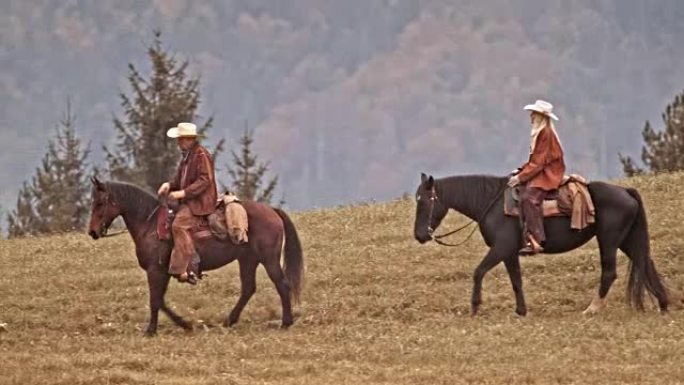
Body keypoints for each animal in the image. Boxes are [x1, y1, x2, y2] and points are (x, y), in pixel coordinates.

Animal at [87, 176, 304, 334]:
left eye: (100, 202)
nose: (93, 232)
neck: (150, 225)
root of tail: (272, 211)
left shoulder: (155, 271)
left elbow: (155, 301)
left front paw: (151, 330)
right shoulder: (163, 272)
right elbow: (161, 300)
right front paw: (184, 324)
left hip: (269, 260)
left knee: (282, 285)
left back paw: (285, 323)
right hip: (247, 260)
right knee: (248, 288)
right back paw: (229, 321)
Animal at [414, 173, 676, 316]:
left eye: (425, 200)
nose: (419, 235)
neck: (491, 203)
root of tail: (626, 191)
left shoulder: (500, 249)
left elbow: (478, 272)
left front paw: (475, 308)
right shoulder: (510, 253)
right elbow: (516, 281)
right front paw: (521, 311)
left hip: (609, 240)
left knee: (610, 272)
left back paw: (591, 309)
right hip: (627, 240)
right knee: (645, 263)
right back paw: (663, 304)